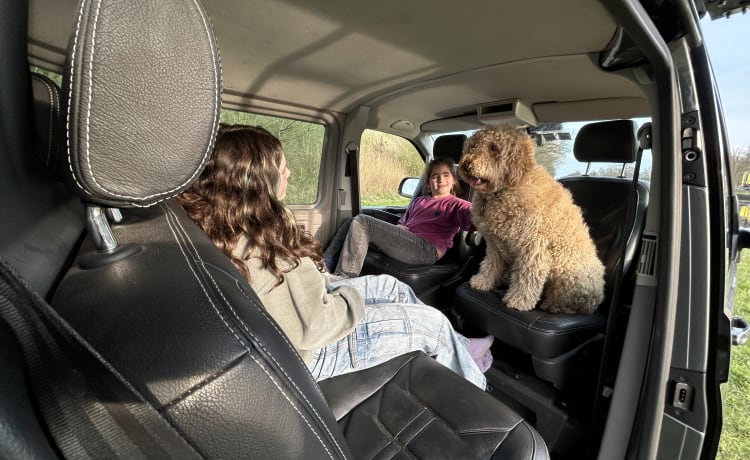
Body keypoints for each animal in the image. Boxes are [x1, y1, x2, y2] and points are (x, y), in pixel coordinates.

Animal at [458, 124, 604, 314]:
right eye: (474, 145)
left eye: (494, 148)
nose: (466, 164)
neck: (505, 190)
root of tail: (598, 299)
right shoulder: (495, 244)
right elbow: (491, 265)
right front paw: (483, 282)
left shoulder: (534, 246)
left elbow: (528, 276)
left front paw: (519, 300)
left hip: (568, 277)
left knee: (569, 304)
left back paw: (551, 305)